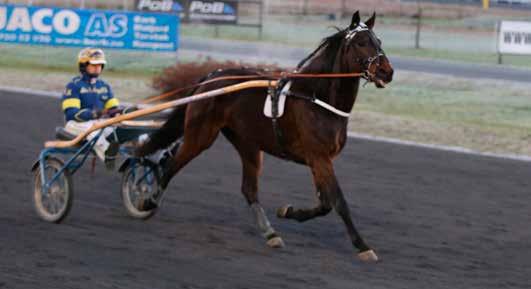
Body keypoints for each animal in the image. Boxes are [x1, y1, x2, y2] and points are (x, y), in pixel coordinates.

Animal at [137, 11, 394, 260]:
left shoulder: (319, 159)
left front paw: (288, 211)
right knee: (171, 165)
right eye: (361, 42)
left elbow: (325, 203)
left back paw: (270, 233)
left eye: (378, 41)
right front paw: (363, 246)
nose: (387, 71)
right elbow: (338, 201)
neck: (317, 99)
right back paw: (147, 202)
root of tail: (212, 76)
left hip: (247, 144)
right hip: (200, 135)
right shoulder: (319, 157)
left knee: (249, 188)